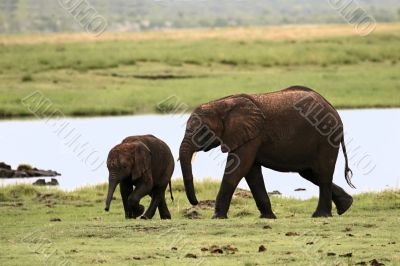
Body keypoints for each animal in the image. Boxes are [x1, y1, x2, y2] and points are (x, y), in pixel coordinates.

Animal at [180, 87, 354, 218]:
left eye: (203, 130)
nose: (196, 202)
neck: (221, 104)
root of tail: (333, 109)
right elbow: (252, 173)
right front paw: (268, 217)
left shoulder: (251, 136)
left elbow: (238, 169)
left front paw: (217, 217)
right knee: (310, 173)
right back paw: (346, 206)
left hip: (327, 137)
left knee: (322, 173)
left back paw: (321, 215)